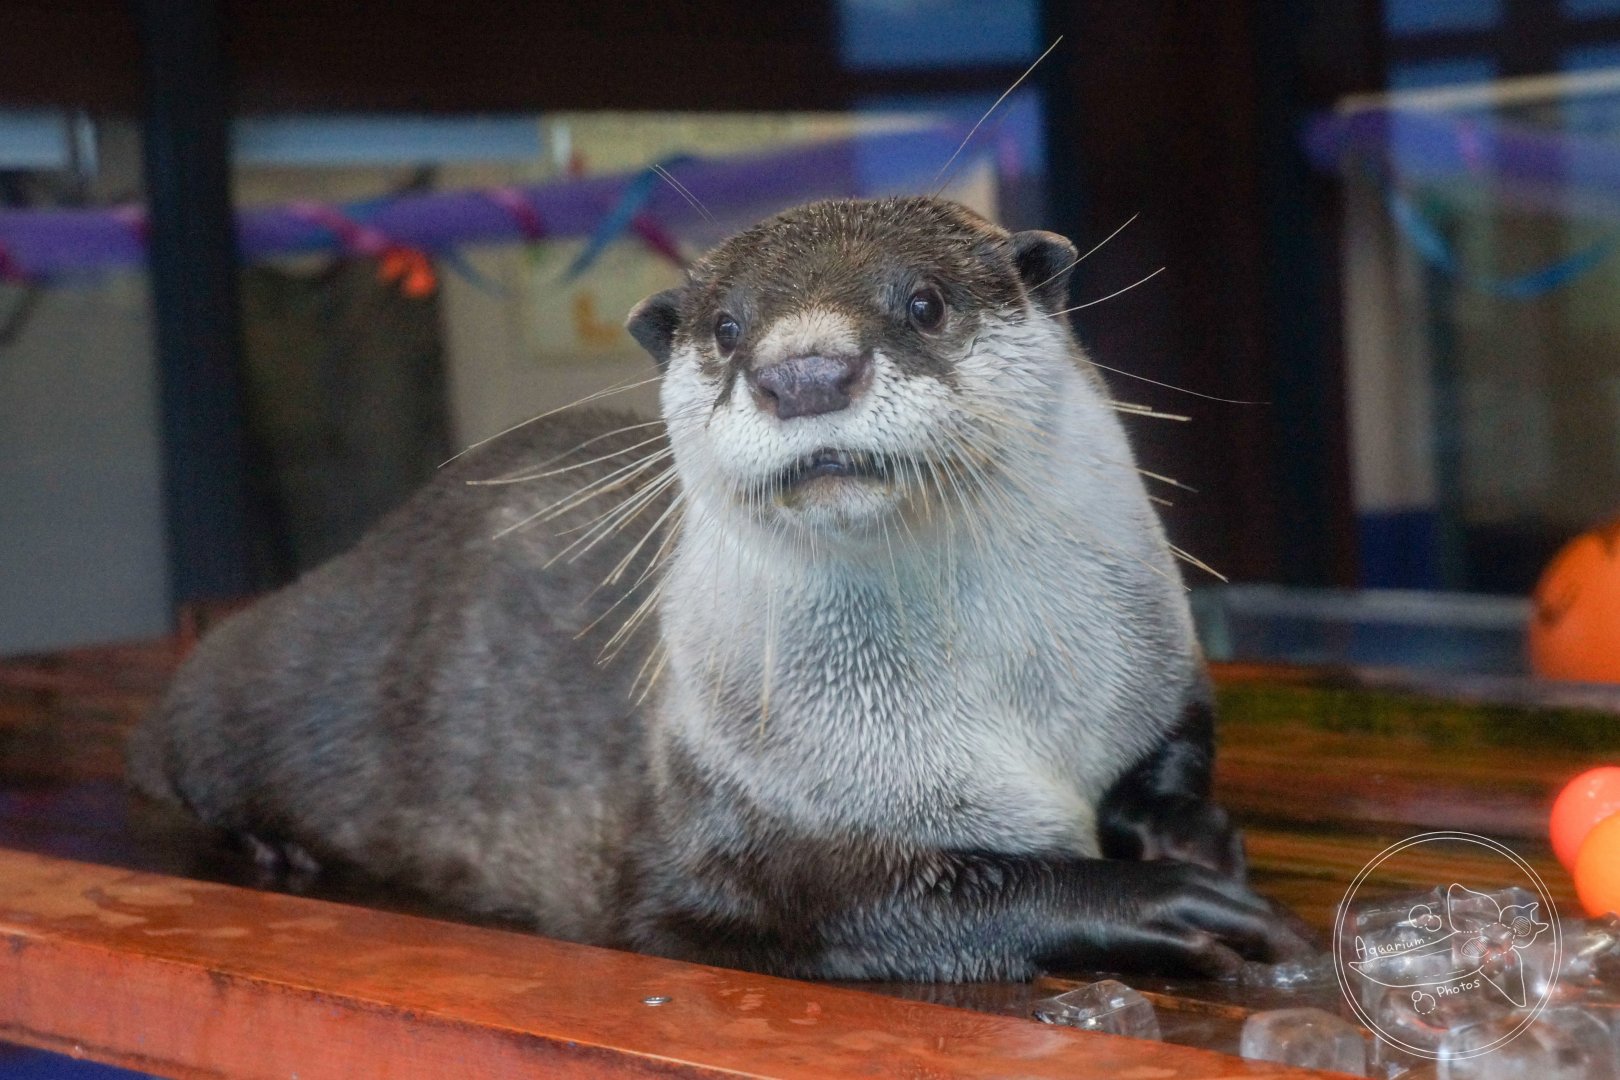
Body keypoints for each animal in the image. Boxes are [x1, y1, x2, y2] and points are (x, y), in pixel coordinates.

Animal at [128, 196, 1307, 980]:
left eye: (924, 302)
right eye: (728, 329)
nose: (805, 372)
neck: (1005, 708)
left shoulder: (1155, 672)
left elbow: (1178, 754)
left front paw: (1188, 835)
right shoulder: (726, 821)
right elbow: (860, 902)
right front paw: (1155, 902)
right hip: (246, 677)